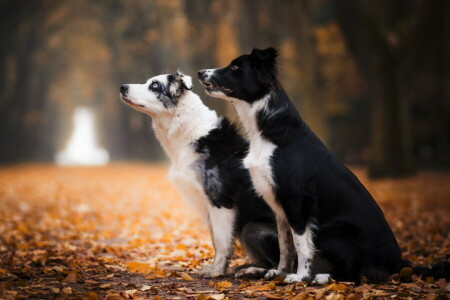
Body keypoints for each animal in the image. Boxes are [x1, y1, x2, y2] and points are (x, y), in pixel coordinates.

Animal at [121, 71, 280, 278]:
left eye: (155, 86)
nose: (122, 87)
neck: (186, 128)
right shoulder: (208, 208)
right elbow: (215, 241)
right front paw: (215, 268)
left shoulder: (220, 202)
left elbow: (221, 242)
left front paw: (216, 273)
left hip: (254, 228)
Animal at [198, 47, 404, 284]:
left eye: (234, 67)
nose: (200, 72)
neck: (268, 130)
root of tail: (399, 264)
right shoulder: (277, 203)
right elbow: (285, 243)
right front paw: (280, 271)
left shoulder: (297, 200)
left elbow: (301, 243)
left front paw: (299, 276)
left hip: (334, 233)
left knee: (356, 273)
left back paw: (322, 277)